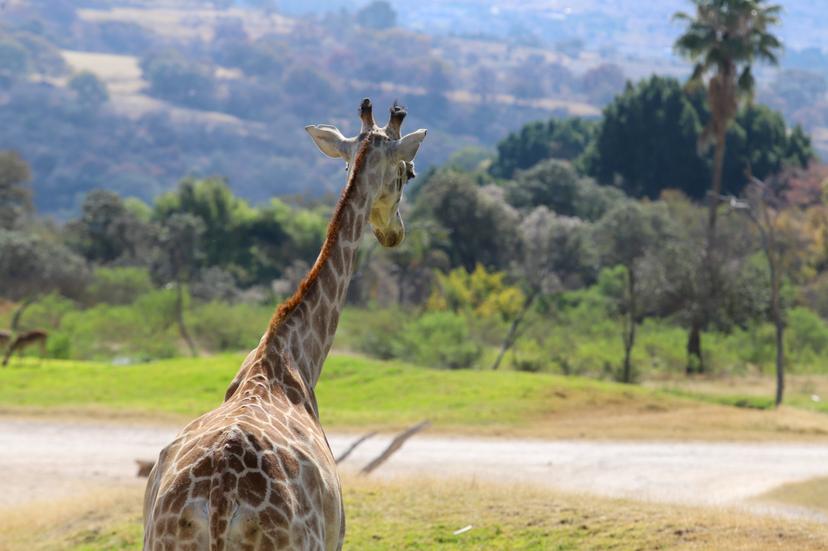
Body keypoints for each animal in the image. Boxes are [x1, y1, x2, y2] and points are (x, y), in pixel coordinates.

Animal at [143, 100, 426, 551]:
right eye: (408, 172)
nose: (394, 233)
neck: (293, 353)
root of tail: (219, 505)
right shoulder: (336, 537)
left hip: (157, 538)